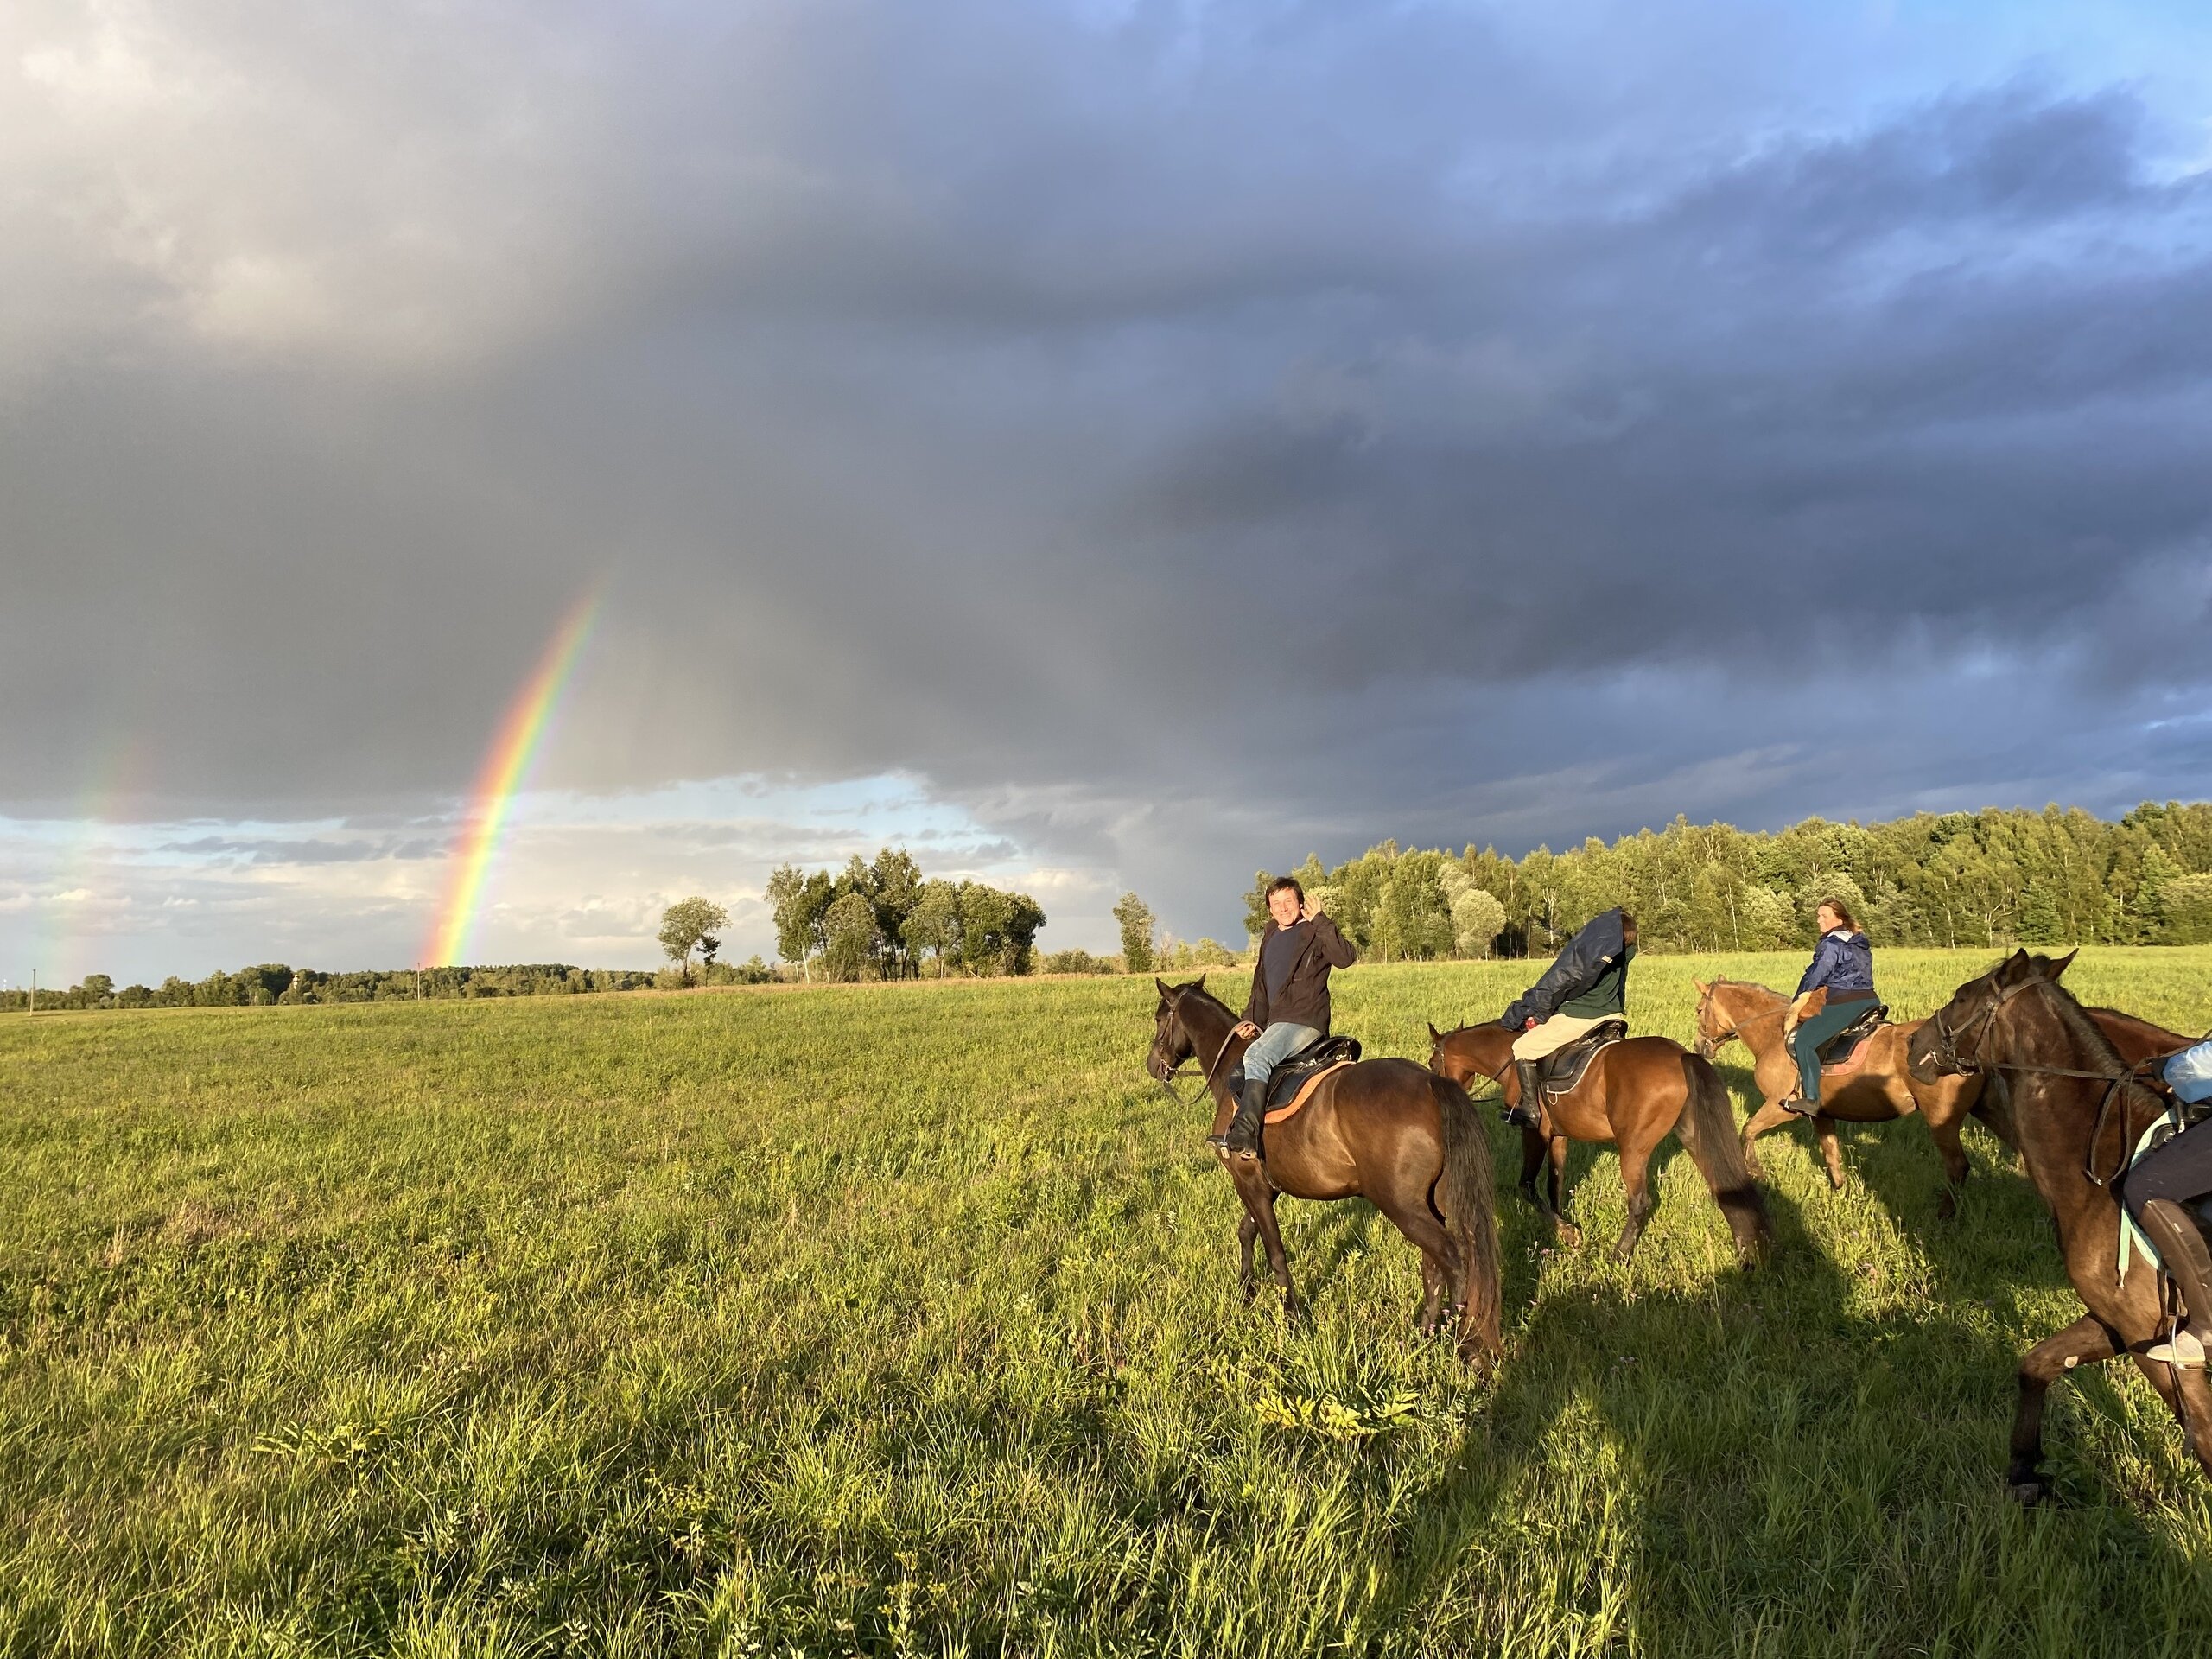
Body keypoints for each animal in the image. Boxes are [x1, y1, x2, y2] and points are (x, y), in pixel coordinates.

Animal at [1141, 982, 1503, 1371]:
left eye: (1159, 1018)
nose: (1152, 1065)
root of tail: (1432, 1083)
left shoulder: (1249, 1182)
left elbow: (1275, 1251)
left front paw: (1291, 1319)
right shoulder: (1265, 1185)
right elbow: (1246, 1231)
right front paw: (1246, 1292)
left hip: (1404, 1207)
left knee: (1454, 1260)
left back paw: (1464, 1343)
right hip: (1435, 1203)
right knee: (1437, 1263)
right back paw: (1424, 1333)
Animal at [1424, 1021, 1770, 1265]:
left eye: (1431, 1062)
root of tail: (1681, 1055)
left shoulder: (1533, 1132)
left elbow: (1527, 1186)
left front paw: (1567, 1234)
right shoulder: (1559, 1136)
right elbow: (1555, 1184)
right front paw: (1563, 1227)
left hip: (1633, 1149)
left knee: (1640, 1203)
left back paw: (1619, 1255)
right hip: (1693, 1136)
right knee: (1724, 1185)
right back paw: (1746, 1252)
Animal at [1902, 946, 2212, 1503]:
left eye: (1961, 997)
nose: (1912, 1044)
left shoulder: (2162, 1347)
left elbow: (2205, 1441)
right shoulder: (2122, 1324)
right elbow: (2037, 1365)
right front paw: (2024, 1470)